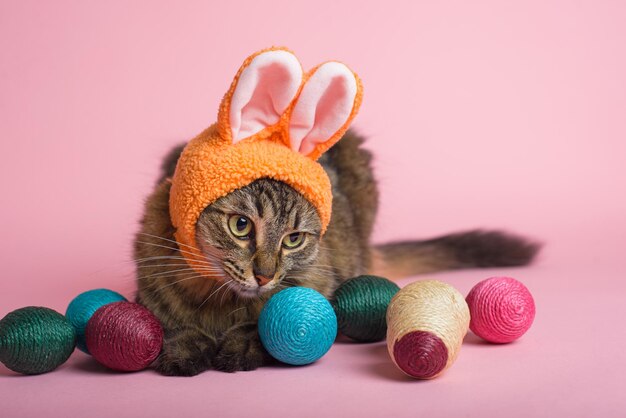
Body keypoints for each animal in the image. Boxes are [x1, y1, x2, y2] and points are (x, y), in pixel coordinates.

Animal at [132, 130, 536, 376]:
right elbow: (172, 325)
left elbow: (261, 326)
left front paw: (242, 343)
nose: (264, 275)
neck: (219, 300)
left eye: (293, 239)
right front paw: (185, 347)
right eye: (241, 226)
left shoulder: (321, 287)